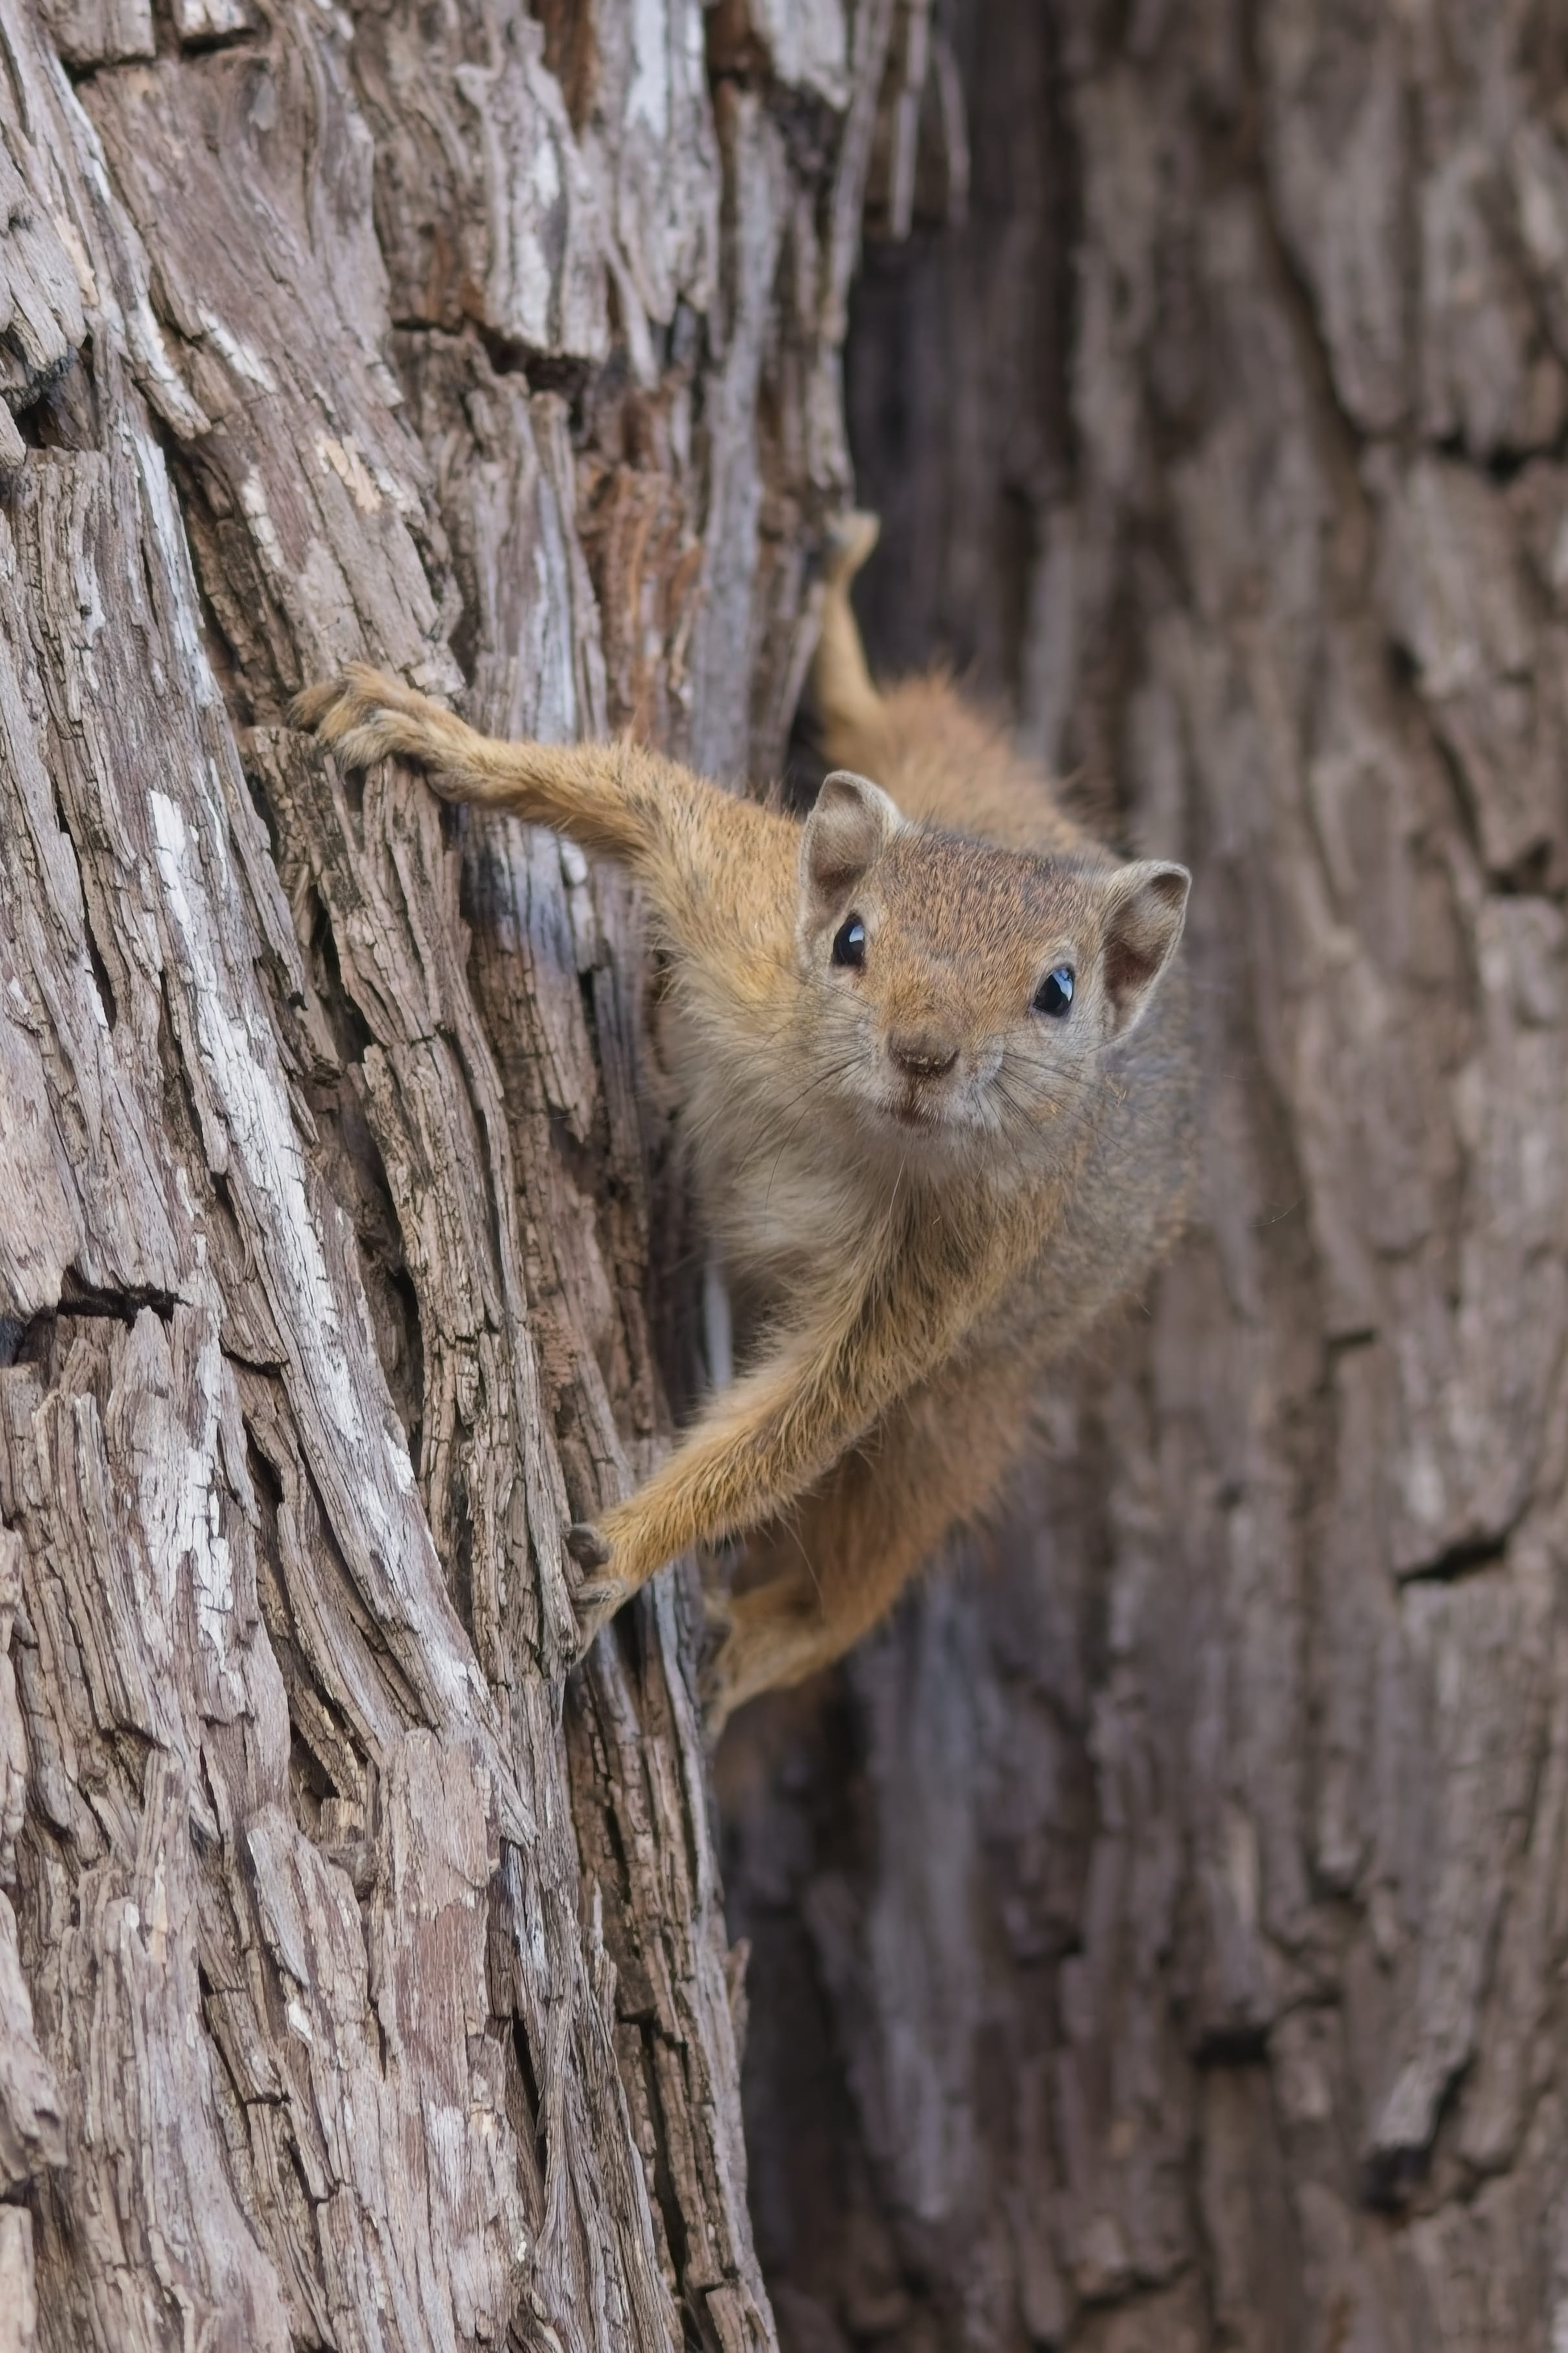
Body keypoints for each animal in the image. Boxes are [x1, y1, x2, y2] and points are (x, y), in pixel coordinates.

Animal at [297, 515, 1203, 1731]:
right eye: (852, 938)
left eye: (1056, 991)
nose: (923, 1053)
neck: (846, 1120)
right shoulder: (744, 908)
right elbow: (633, 792)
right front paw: (437, 736)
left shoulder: (958, 1253)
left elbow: (801, 1416)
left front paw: (622, 1549)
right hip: (946, 766)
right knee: (906, 719)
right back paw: (840, 632)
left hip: (964, 1405)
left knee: (874, 1551)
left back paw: (767, 1640)